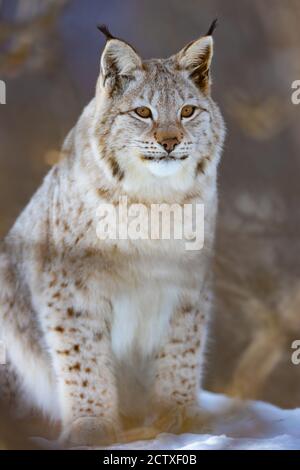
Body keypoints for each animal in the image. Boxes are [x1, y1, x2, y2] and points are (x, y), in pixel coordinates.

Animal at [0, 23, 225, 448]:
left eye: (187, 111)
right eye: (143, 112)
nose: (170, 142)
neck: (154, 199)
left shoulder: (189, 284)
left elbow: (182, 351)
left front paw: (178, 418)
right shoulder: (68, 287)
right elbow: (82, 358)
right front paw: (91, 424)